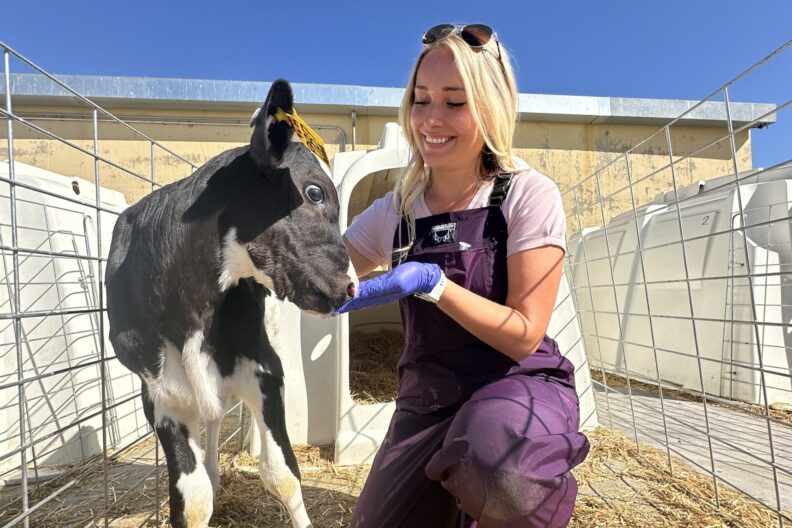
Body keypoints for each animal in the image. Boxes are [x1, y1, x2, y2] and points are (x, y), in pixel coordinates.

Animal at [106, 79, 354, 528]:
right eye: (314, 192)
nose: (351, 286)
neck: (190, 309)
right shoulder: (158, 392)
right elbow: (193, 499)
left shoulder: (265, 368)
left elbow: (282, 474)